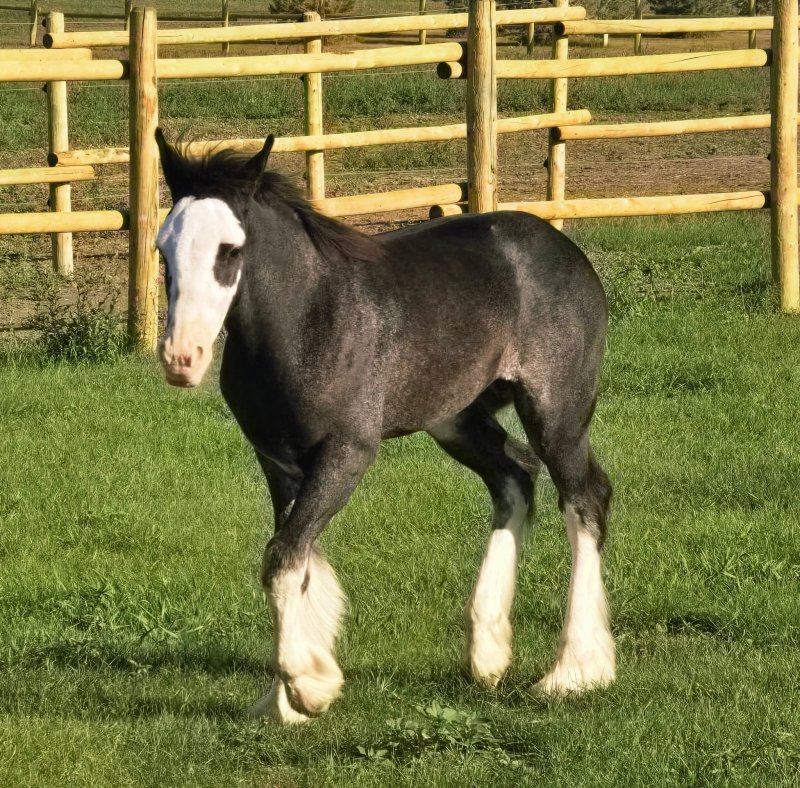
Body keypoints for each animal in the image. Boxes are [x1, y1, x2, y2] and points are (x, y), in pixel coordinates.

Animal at [154, 129, 615, 723]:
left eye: (229, 250)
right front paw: (286, 699)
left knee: (584, 500)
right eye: (163, 250)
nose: (181, 358)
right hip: (456, 419)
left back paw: (574, 671)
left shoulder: (348, 451)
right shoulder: (278, 460)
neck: (310, 319)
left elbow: (282, 557)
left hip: (556, 413)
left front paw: (308, 687)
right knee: (514, 477)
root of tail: (566, 252)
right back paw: (488, 653)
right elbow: (294, 556)